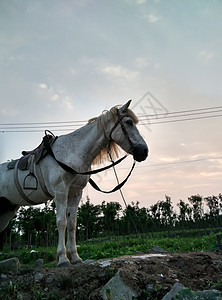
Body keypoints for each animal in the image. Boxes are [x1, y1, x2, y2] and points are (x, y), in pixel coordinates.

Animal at [0, 101, 149, 268]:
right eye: (129, 122)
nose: (144, 151)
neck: (72, 152)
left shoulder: (76, 193)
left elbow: (72, 224)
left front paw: (75, 257)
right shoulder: (60, 191)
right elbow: (61, 222)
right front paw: (63, 259)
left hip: (7, 210)